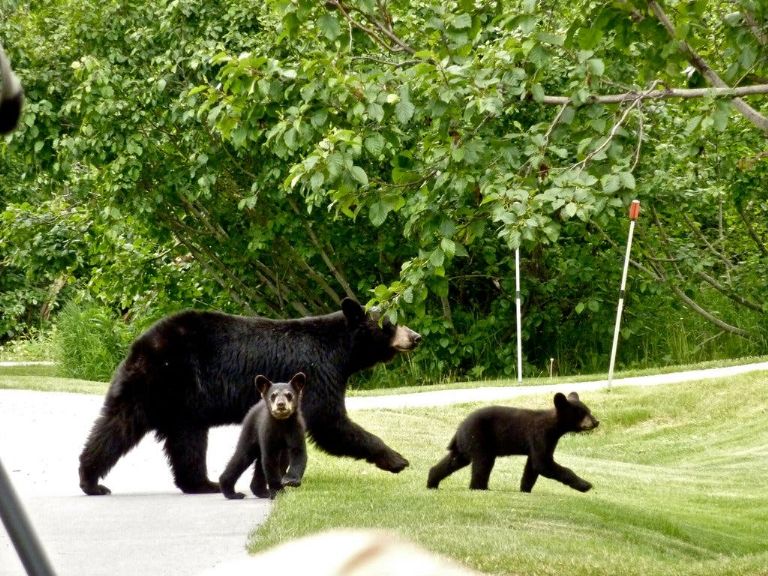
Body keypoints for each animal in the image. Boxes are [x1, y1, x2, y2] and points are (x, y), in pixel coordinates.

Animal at [78, 297, 421, 495]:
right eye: (390, 323)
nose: (416, 337)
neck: (342, 353)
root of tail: (140, 343)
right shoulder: (318, 374)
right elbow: (330, 422)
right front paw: (396, 459)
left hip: (174, 400)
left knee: (155, 433)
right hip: (165, 383)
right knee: (128, 427)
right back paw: (94, 482)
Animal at [427, 392, 599, 493]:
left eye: (589, 411)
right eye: (583, 413)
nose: (596, 422)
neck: (554, 427)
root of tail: (459, 428)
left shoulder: (547, 441)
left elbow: (532, 466)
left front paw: (525, 489)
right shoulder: (539, 435)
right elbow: (542, 463)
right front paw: (586, 485)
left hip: (465, 445)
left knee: (454, 460)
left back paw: (432, 482)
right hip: (480, 439)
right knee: (482, 463)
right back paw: (480, 488)